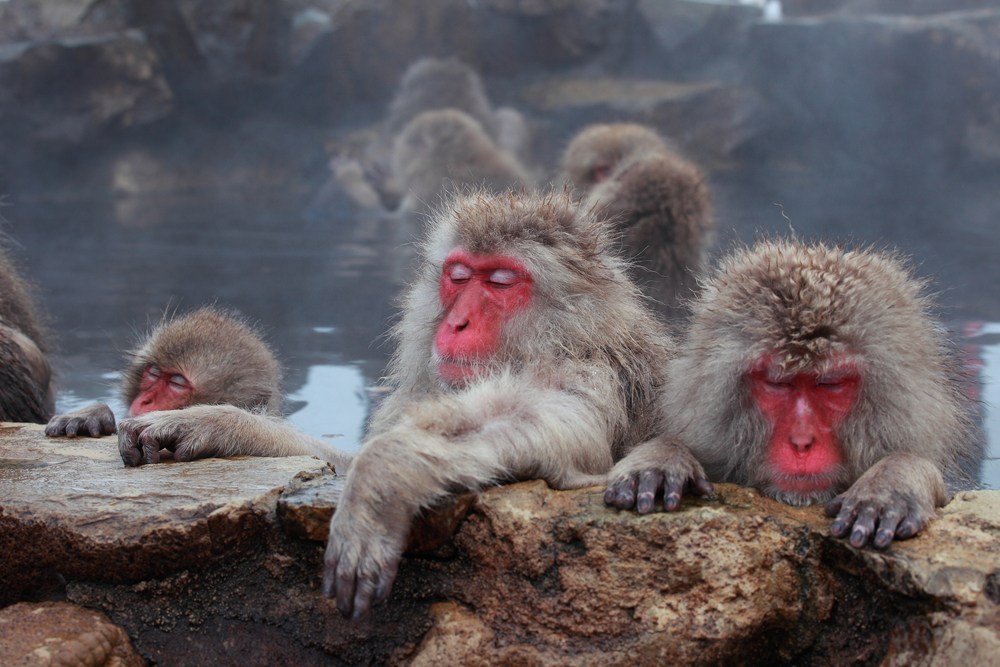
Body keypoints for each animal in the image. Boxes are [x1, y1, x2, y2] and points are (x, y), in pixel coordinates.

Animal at [320, 190, 696, 620]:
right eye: (459, 276)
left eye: (500, 282)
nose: (457, 323)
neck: (570, 341)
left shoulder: (596, 379)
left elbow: (543, 421)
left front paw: (378, 481)